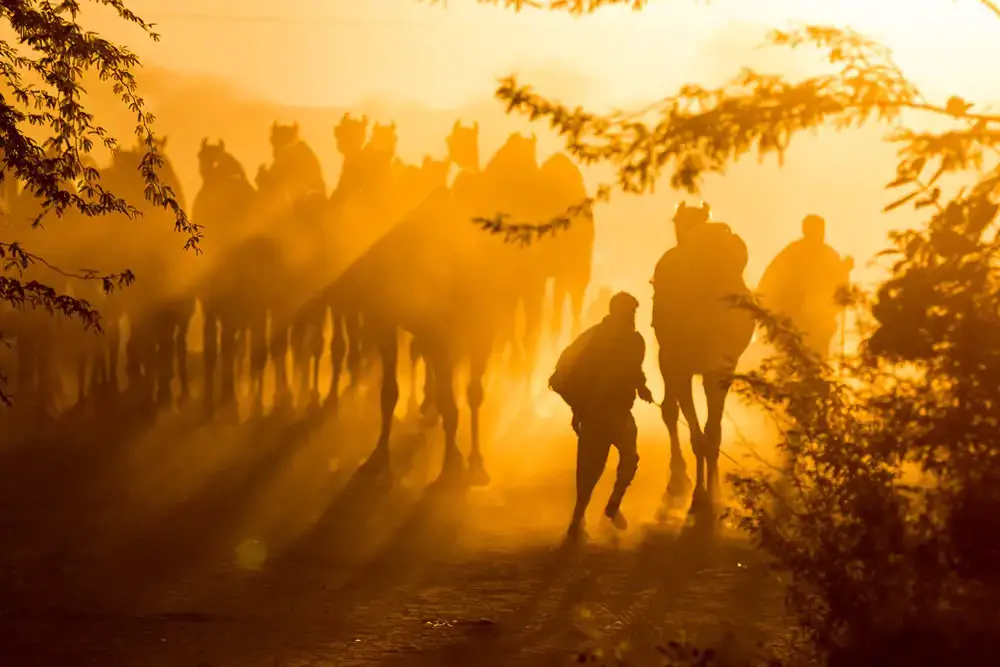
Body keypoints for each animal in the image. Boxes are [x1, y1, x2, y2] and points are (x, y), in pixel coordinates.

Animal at [652, 201, 752, 516]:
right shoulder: (701, 367)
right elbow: (703, 430)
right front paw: (703, 491)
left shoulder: (675, 362)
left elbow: (689, 424)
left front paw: (698, 493)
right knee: (709, 429)